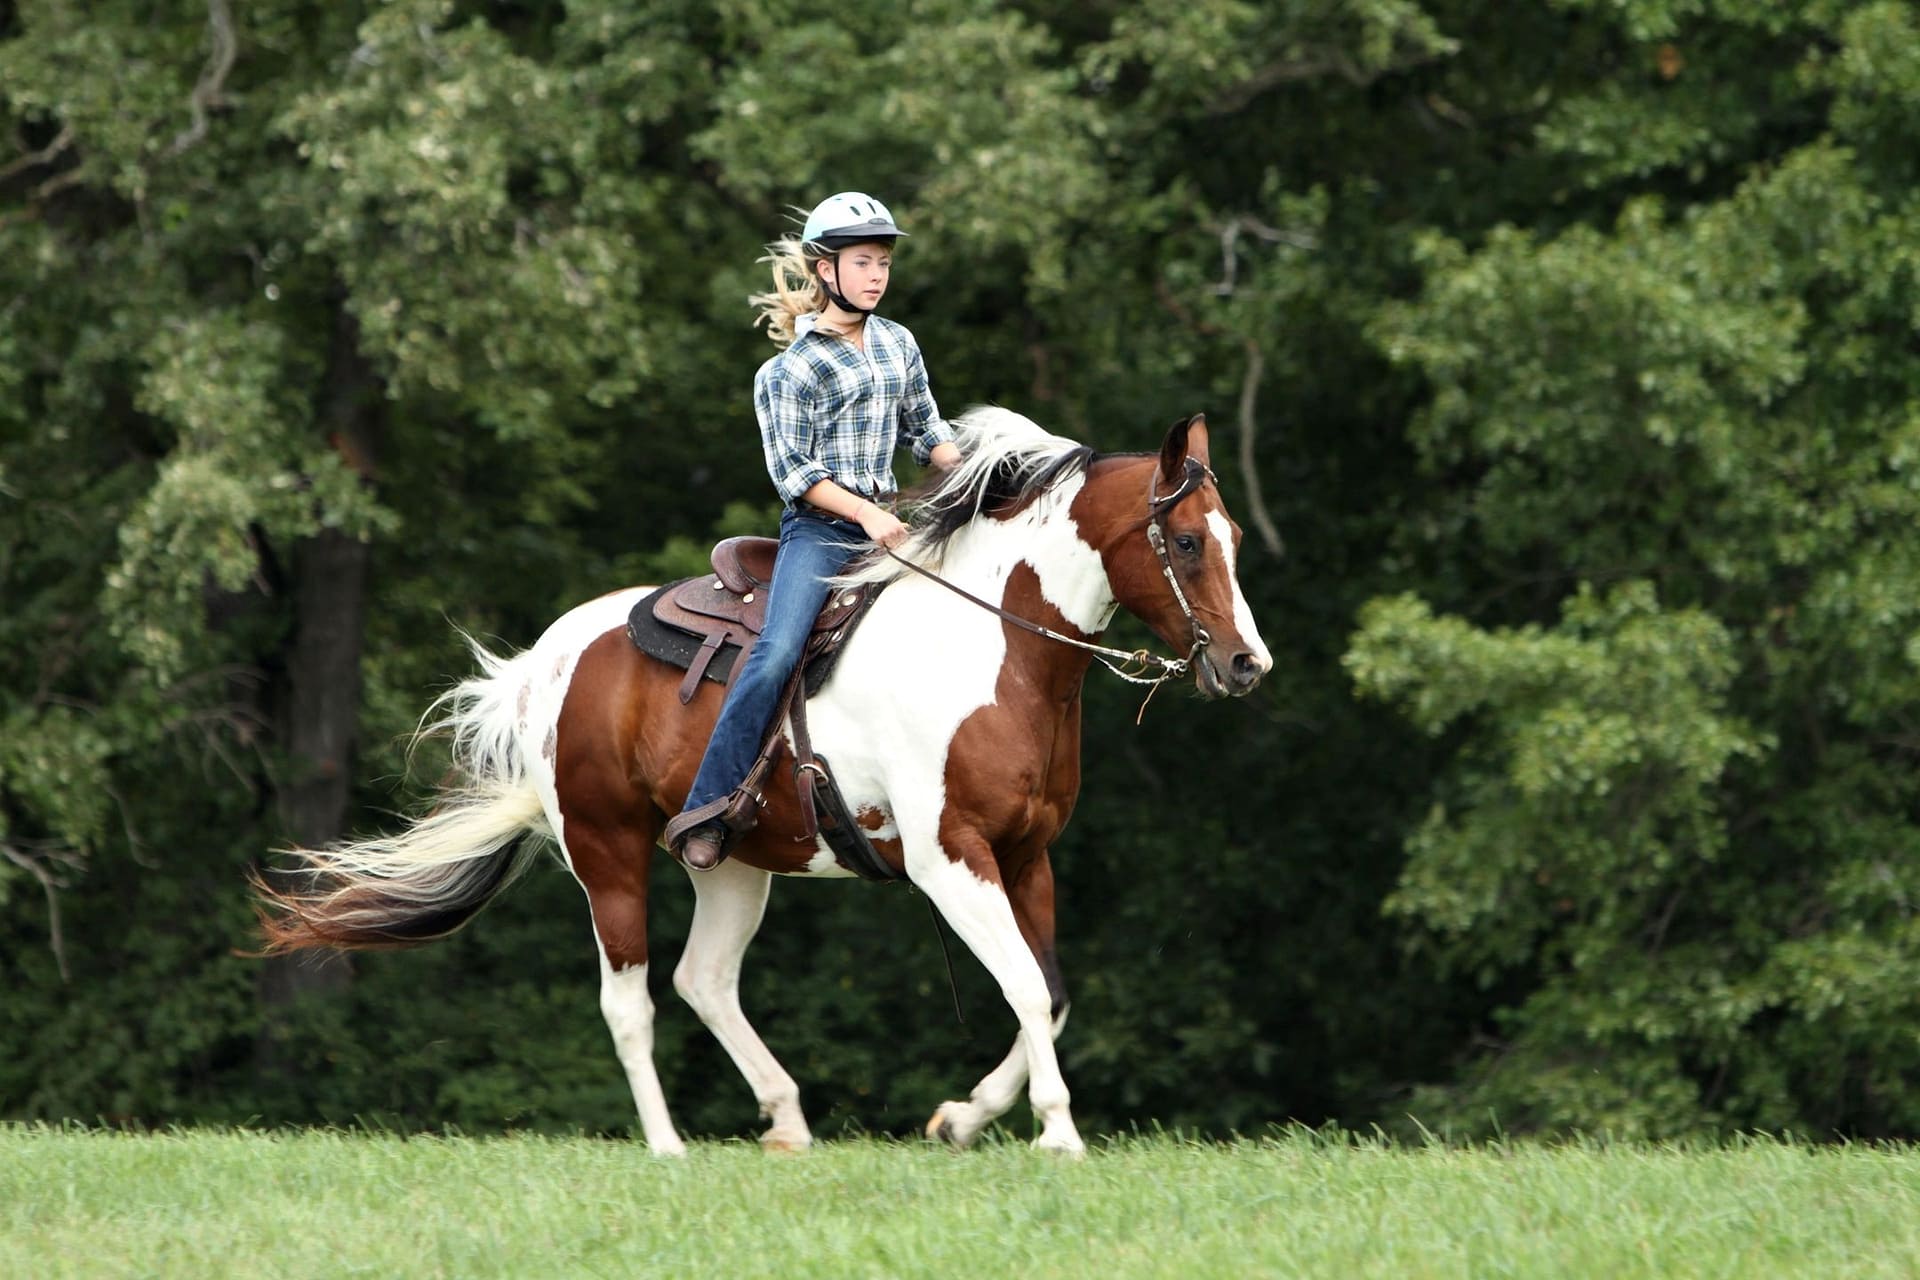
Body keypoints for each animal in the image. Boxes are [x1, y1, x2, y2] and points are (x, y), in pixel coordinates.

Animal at [259, 404, 1274, 1159]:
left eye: (1230, 534)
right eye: (1187, 542)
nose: (1246, 663)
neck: (994, 650)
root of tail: (546, 662)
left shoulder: (1028, 856)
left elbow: (1051, 996)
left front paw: (962, 1118)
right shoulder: (950, 859)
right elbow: (1024, 986)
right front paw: (1056, 1134)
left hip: (732, 862)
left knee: (704, 978)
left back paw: (786, 1119)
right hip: (607, 851)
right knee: (630, 1000)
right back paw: (667, 1146)